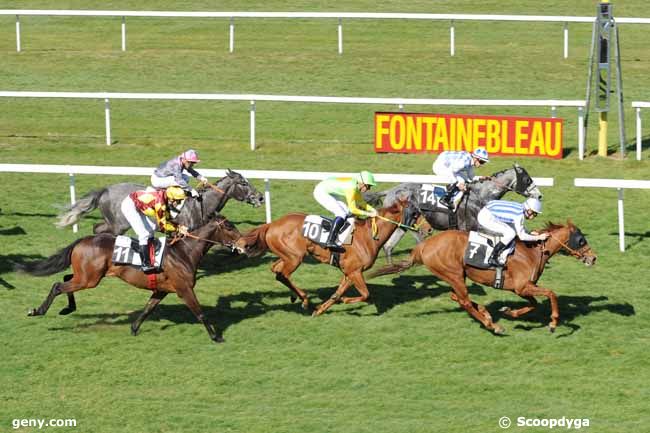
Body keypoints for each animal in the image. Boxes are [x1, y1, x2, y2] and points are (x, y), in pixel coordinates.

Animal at [18, 214, 240, 342]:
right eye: (229, 227)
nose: (243, 243)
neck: (184, 252)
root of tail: (83, 239)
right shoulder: (184, 289)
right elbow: (200, 313)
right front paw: (216, 337)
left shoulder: (162, 290)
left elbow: (148, 309)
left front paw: (133, 329)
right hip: (89, 280)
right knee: (58, 285)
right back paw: (38, 310)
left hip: (88, 275)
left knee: (66, 278)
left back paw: (68, 307)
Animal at [55, 167, 264, 235]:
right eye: (244, 183)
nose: (261, 197)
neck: (201, 203)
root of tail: (105, 190)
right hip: (120, 224)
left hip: (113, 222)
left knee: (97, 228)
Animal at [234, 198, 416, 314]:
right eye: (415, 212)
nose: (420, 228)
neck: (369, 236)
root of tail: (272, 224)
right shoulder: (355, 272)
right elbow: (366, 295)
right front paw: (345, 301)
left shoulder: (350, 272)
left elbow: (337, 294)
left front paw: (320, 310)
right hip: (295, 258)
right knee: (283, 274)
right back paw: (304, 299)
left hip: (287, 256)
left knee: (276, 270)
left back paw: (296, 297)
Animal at [364, 163, 540, 262]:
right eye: (527, 180)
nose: (539, 195)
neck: (479, 195)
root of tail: (390, 191)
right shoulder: (470, 227)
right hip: (407, 220)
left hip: (402, 223)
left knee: (389, 246)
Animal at [368, 221, 596, 332]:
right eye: (581, 240)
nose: (593, 258)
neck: (533, 251)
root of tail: (423, 246)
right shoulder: (522, 286)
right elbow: (551, 294)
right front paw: (553, 323)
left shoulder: (521, 288)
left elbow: (534, 304)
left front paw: (509, 311)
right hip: (454, 274)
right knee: (464, 301)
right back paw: (492, 325)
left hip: (456, 276)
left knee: (458, 297)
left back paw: (487, 314)